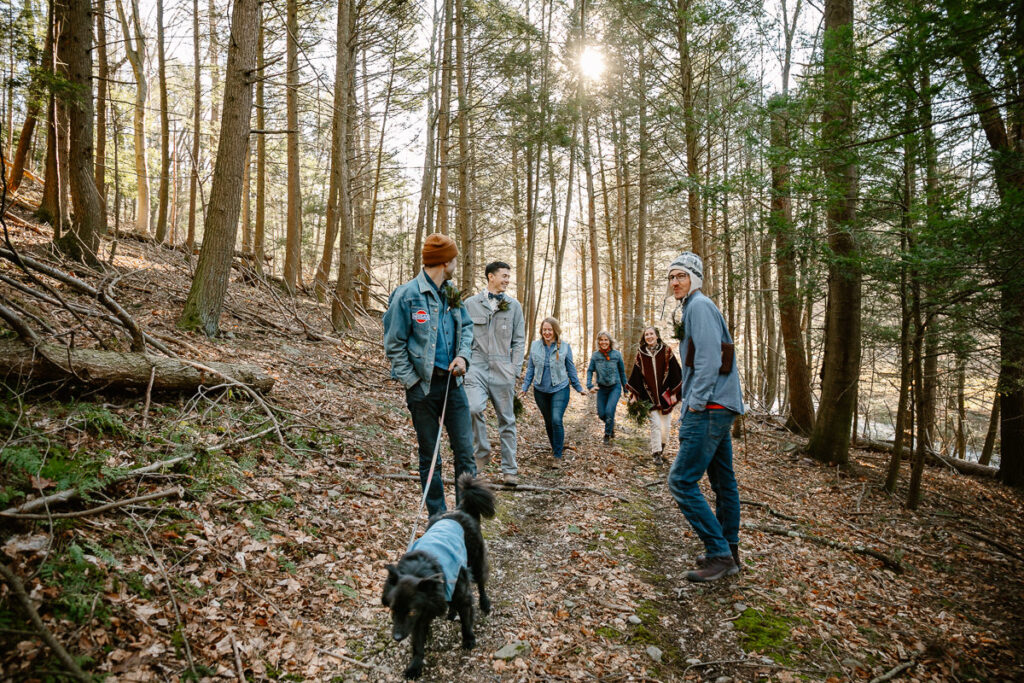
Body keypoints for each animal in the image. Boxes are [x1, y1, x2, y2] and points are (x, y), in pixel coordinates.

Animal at [382, 475, 497, 679]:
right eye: (393, 609)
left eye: (410, 611)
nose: (396, 638)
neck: (420, 570)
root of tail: (460, 511)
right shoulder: (421, 616)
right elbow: (418, 643)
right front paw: (415, 666)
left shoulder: (461, 592)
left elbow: (466, 619)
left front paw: (469, 639)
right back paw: (451, 612)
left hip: (475, 563)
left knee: (481, 583)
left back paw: (485, 604)